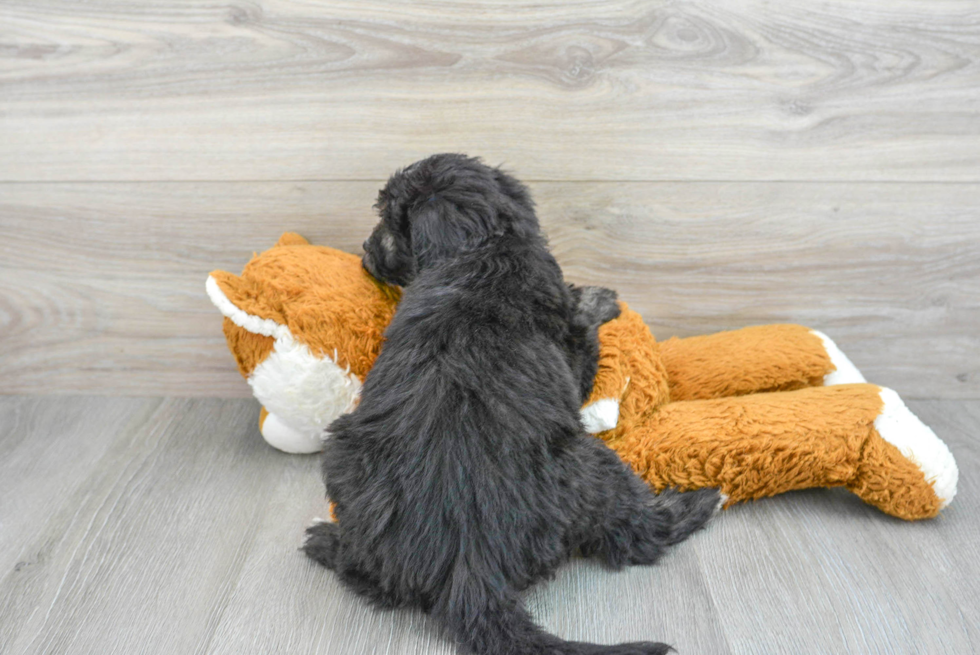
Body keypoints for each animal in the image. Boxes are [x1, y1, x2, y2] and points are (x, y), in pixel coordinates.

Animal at [302, 155, 716, 655]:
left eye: (387, 224)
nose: (365, 250)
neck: (484, 248)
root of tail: (470, 576)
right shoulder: (572, 357)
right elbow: (584, 330)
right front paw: (597, 300)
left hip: (343, 457)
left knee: (368, 576)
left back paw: (326, 542)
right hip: (593, 465)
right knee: (638, 535)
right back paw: (697, 503)